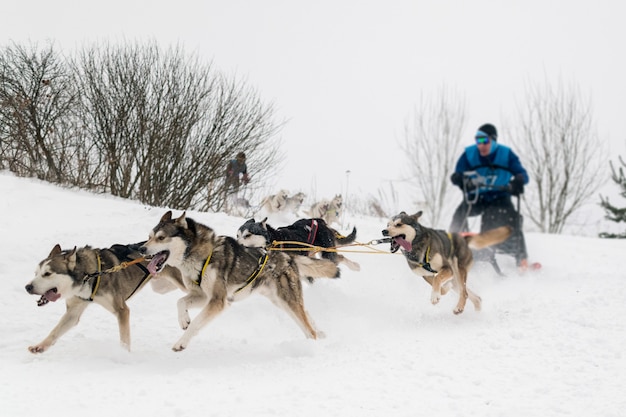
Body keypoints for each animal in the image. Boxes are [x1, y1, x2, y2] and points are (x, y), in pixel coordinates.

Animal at [24, 242, 183, 352]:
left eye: (47, 274)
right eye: (36, 273)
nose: (27, 287)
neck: (90, 275)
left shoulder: (122, 311)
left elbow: (124, 339)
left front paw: (124, 355)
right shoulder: (74, 310)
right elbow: (55, 331)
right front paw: (40, 346)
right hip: (162, 287)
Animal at [139, 210, 338, 350]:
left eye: (161, 238)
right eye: (149, 237)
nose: (141, 249)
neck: (201, 255)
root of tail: (287, 255)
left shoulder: (217, 300)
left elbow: (196, 323)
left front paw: (181, 342)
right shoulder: (203, 295)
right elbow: (180, 302)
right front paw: (183, 320)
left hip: (286, 300)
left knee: (307, 327)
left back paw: (313, 343)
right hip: (280, 300)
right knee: (306, 315)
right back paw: (318, 333)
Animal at [378, 211, 510, 312]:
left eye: (398, 224)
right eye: (388, 224)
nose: (384, 231)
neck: (417, 248)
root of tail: (464, 238)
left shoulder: (447, 268)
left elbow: (437, 279)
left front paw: (435, 296)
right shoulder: (425, 275)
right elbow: (436, 283)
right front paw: (441, 291)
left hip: (457, 270)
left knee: (465, 293)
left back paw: (459, 308)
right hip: (456, 280)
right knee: (475, 297)